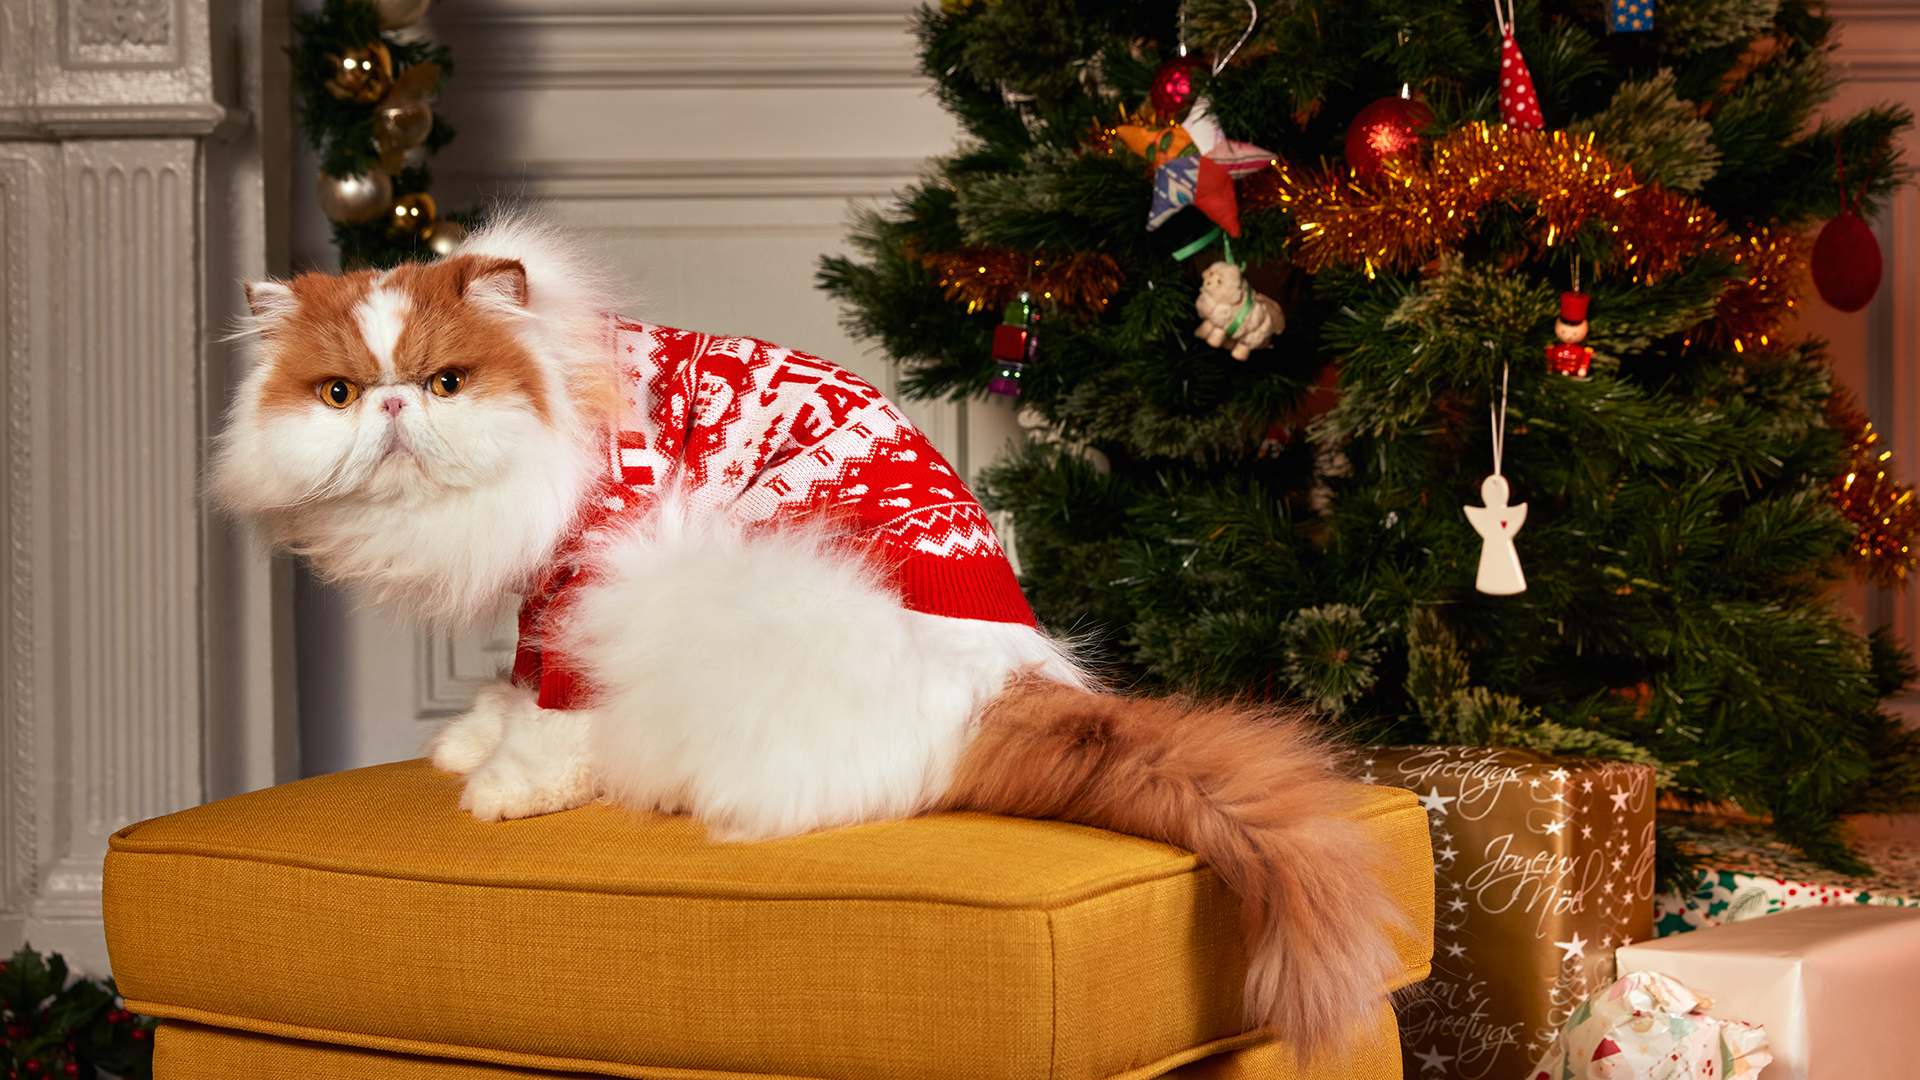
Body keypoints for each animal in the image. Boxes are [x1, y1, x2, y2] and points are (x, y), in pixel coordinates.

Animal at [217, 214, 1405, 1045]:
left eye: (446, 382)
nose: (392, 409)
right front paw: (473, 741)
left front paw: (509, 786)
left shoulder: (596, 563)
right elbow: (521, 675)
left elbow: (556, 711)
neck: (565, 390)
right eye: (339, 394)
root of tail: (1008, 692)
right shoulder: (544, 596)